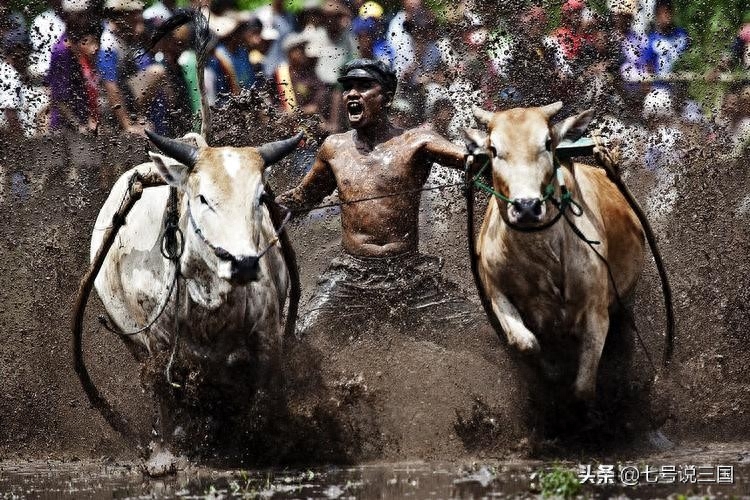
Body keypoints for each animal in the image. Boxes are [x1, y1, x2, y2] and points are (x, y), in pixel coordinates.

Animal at [470, 103, 648, 400]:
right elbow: (526, 342)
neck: (541, 260)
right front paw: (550, 371)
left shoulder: (597, 313)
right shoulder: (495, 289)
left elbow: (583, 388)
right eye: (493, 149)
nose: (527, 207)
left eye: (547, 142)